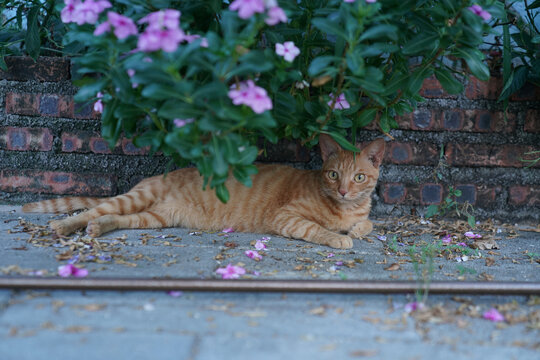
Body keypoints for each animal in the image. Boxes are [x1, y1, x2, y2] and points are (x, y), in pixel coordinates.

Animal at [22, 134, 384, 249]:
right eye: (333, 174)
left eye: (360, 177)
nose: (344, 190)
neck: (344, 208)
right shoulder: (285, 216)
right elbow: (316, 228)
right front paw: (338, 237)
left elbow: (369, 224)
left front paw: (355, 229)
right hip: (135, 199)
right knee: (89, 211)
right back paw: (63, 226)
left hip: (155, 217)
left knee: (113, 218)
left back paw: (98, 229)